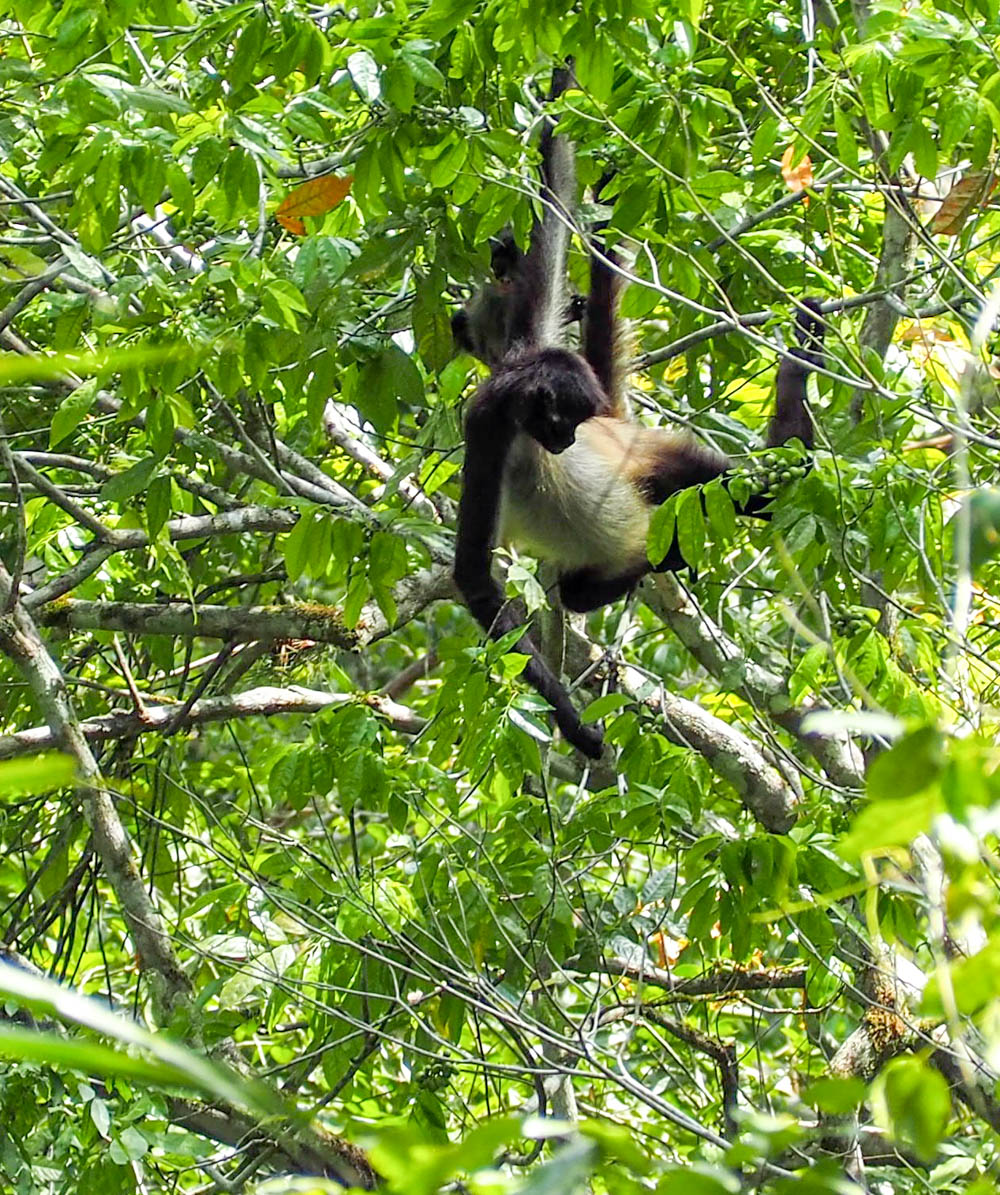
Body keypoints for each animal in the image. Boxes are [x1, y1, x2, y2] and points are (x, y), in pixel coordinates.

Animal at [449, 74, 821, 760]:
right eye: (560, 422)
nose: (569, 440)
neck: (518, 412)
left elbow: (553, 198)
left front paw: (560, 88)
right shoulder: (488, 418)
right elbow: (477, 580)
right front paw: (574, 725)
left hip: (656, 453)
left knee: (747, 489)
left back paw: (789, 421)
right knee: (581, 585)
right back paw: (664, 553)